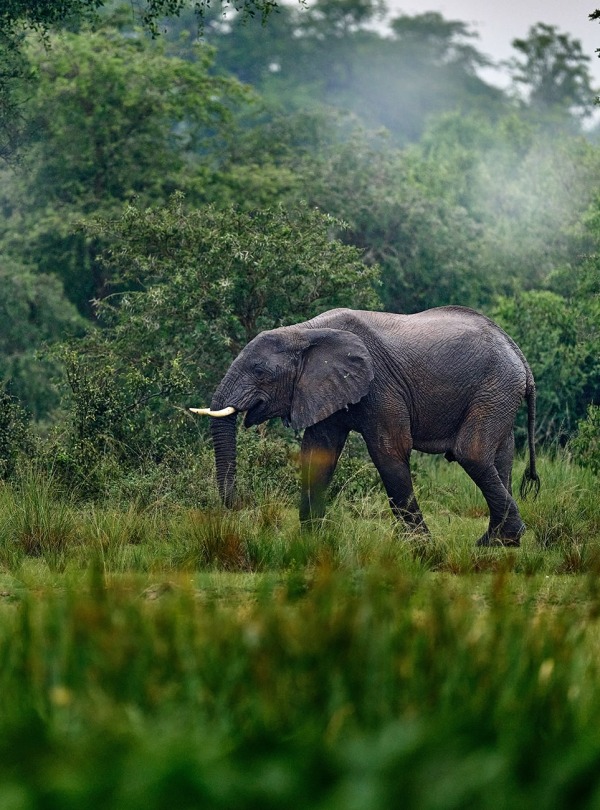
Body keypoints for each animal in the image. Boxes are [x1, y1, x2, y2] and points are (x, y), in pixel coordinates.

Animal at [191, 306, 540, 548]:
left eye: (260, 371)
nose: (238, 504)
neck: (304, 332)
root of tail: (518, 354)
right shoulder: (325, 387)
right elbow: (318, 454)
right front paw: (311, 543)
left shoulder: (381, 386)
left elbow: (389, 453)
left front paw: (423, 548)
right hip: (499, 392)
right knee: (500, 457)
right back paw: (499, 543)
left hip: (495, 386)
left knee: (472, 453)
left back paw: (499, 541)